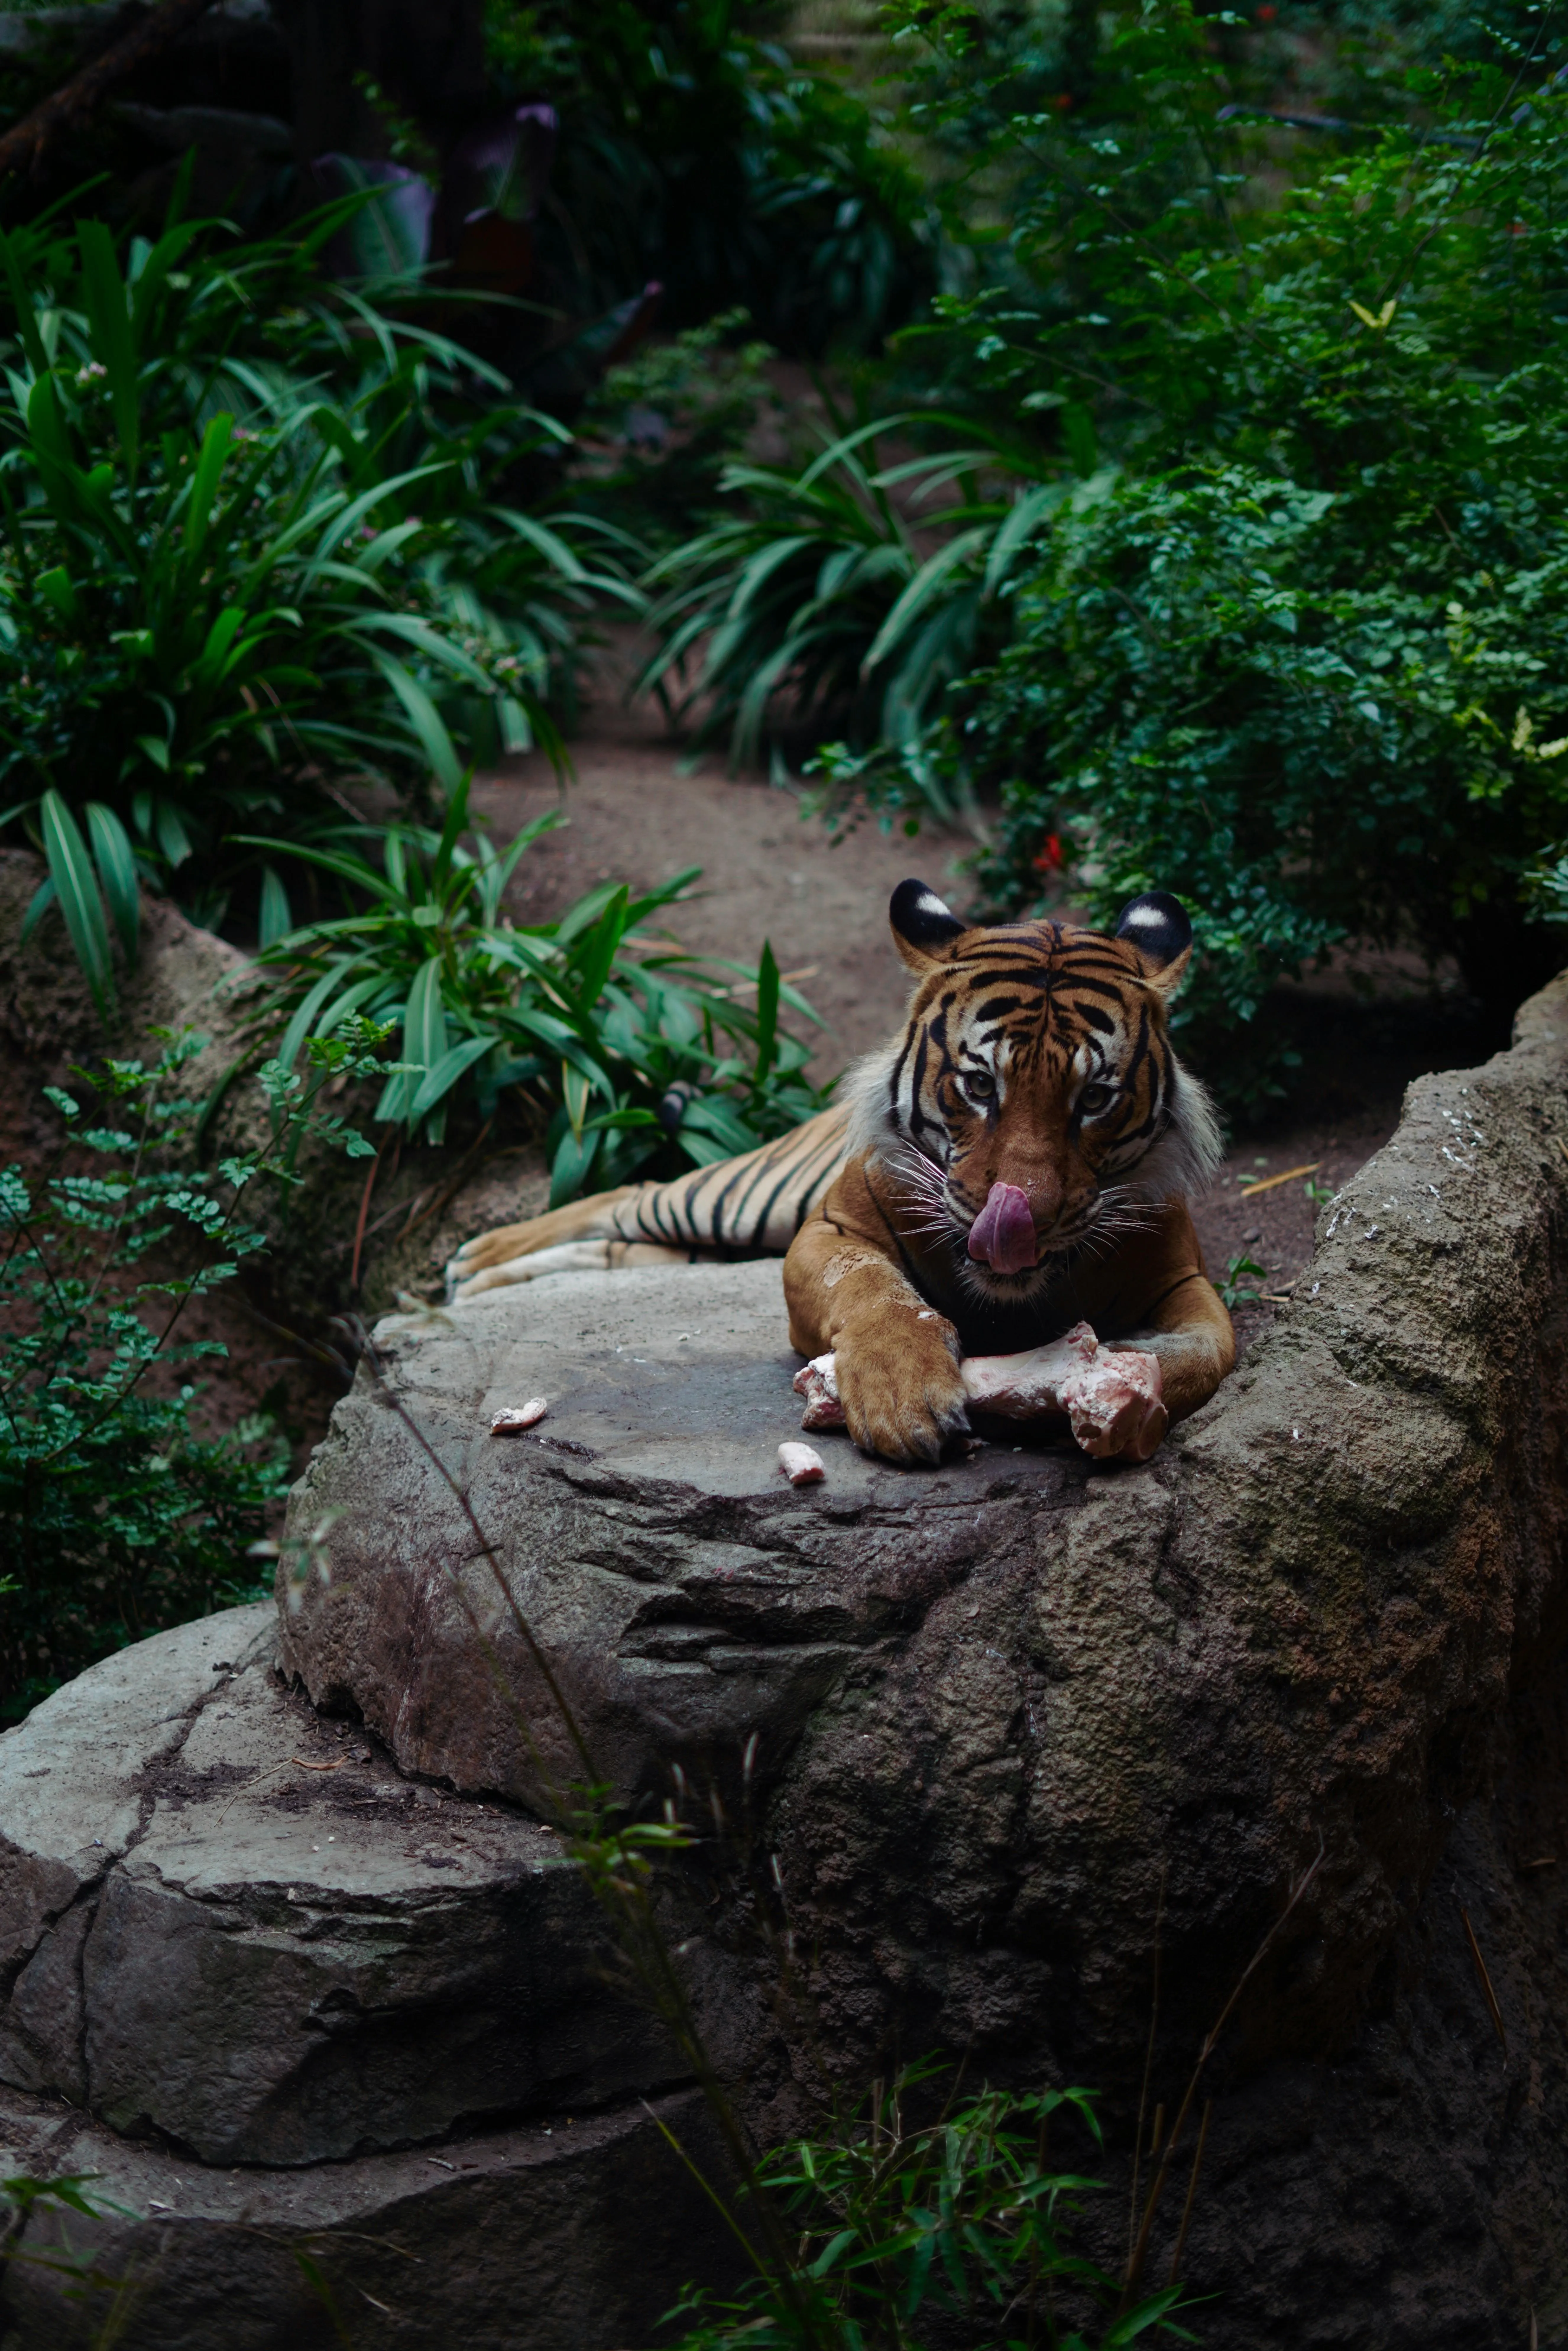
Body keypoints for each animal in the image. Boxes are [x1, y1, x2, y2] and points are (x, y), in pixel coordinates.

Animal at [447, 879, 1236, 1466]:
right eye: (981, 1085)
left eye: (1094, 1098)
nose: (1023, 1222)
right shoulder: (827, 1230)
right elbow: (872, 1291)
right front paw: (903, 1399)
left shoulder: (1183, 1279)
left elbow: (1208, 1353)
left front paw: (1107, 1397)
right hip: (746, 1199)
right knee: (632, 1194)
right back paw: (473, 1262)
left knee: (629, 1246)